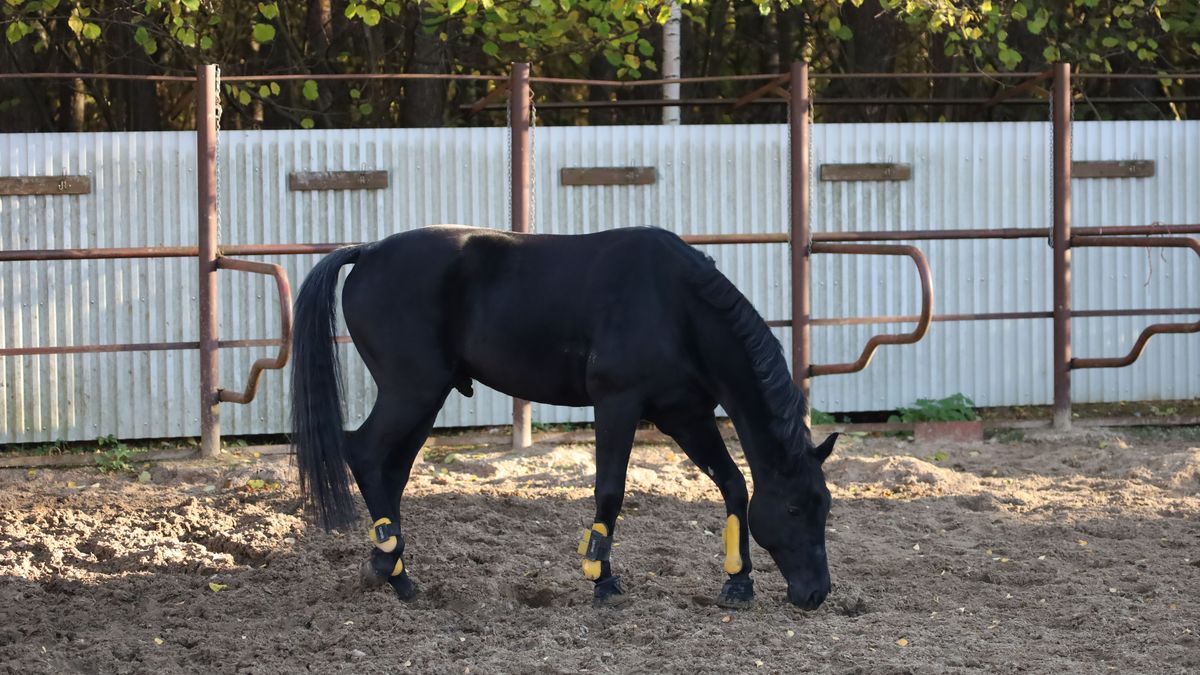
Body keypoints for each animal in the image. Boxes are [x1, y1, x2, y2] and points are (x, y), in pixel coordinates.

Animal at [290, 225, 838, 609]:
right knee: (364, 453)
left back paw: (399, 577)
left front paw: (738, 582)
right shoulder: (617, 403)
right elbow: (610, 492)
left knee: (391, 473)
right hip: (412, 392)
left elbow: (733, 484)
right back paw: (387, 565)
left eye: (825, 507)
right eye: (793, 510)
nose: (816, 593)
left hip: (425, 399)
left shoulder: (686, 415)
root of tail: (367, 251)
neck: (675, 303)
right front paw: (602, 581)